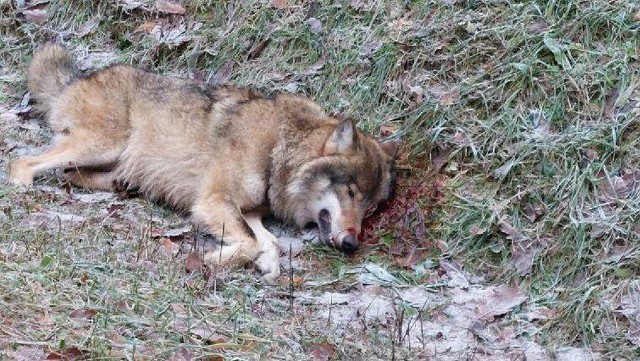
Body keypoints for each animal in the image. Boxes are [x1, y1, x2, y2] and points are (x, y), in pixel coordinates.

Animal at [10, 45, 398, 280]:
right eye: (350, 192)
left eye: (370, 208)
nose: (352, 245)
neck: (278, 147)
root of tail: (78, 78)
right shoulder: (213, 201)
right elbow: (251, 243)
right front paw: (212, 261)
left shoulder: (248, 211)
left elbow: (268, 242)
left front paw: (267, 266)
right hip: (102, 145)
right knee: (23, 162)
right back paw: (21, 189)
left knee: (71, 175)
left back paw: (123, 186)